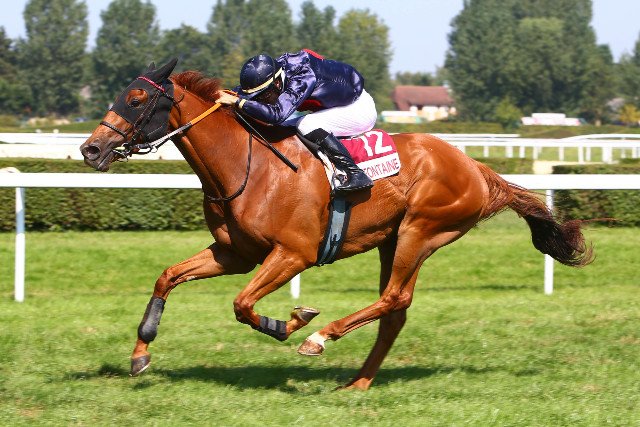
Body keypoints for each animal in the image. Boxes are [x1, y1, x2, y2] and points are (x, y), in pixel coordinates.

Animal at [80, 59, 593, 390]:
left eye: (137, 98)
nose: (90, 149)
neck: (247, 166)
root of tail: (477, 169)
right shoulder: (234, 253)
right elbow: (167, 277)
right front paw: (140, 354)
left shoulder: (294, 254)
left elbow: (243, 305)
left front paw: (291, 322)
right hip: (394, 239)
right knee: (396, 310)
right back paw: (359, 383)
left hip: (421, 230)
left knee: (394, 298)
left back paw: (319, 339)